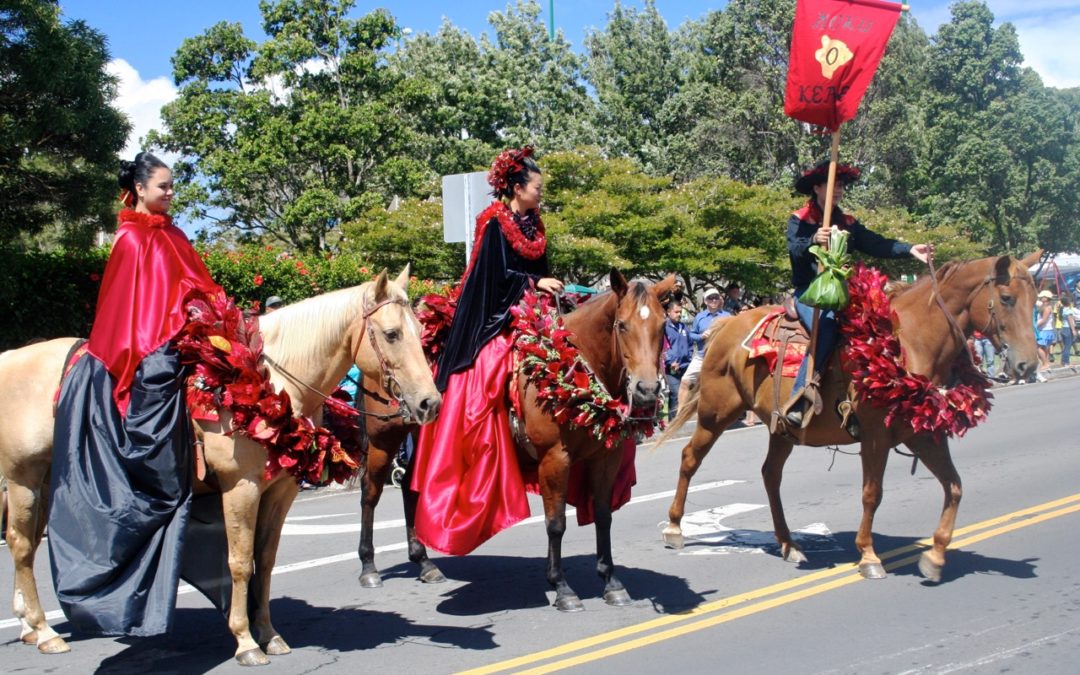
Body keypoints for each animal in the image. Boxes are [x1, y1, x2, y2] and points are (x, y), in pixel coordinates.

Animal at [0, 266, 440, 665]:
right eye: (391, 334)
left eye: (422, 330)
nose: (429, 403)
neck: (273, 384)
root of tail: (12, 355)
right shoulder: (240, 487)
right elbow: (240, 563)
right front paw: (245, 641)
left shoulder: (281, 490)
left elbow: (266, 560)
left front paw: (269, 633)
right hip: (23, 477)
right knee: (20, 543)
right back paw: (44, 631)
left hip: (46, 480)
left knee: (27, 543)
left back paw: (27, 625)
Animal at [656, 254, 1036, 583]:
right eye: (1006, 298)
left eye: (1033, 299)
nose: (1027, 364)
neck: (909, 341)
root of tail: (725, 325)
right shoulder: (875, 436)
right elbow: (872, 493)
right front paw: (868, 556)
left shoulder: (923, 432)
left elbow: (954, 486)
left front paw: (935, 556)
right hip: (715, 413)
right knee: (690, 458)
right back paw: (674, 528)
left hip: (782, 428)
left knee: (770, 475)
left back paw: (788, 543)